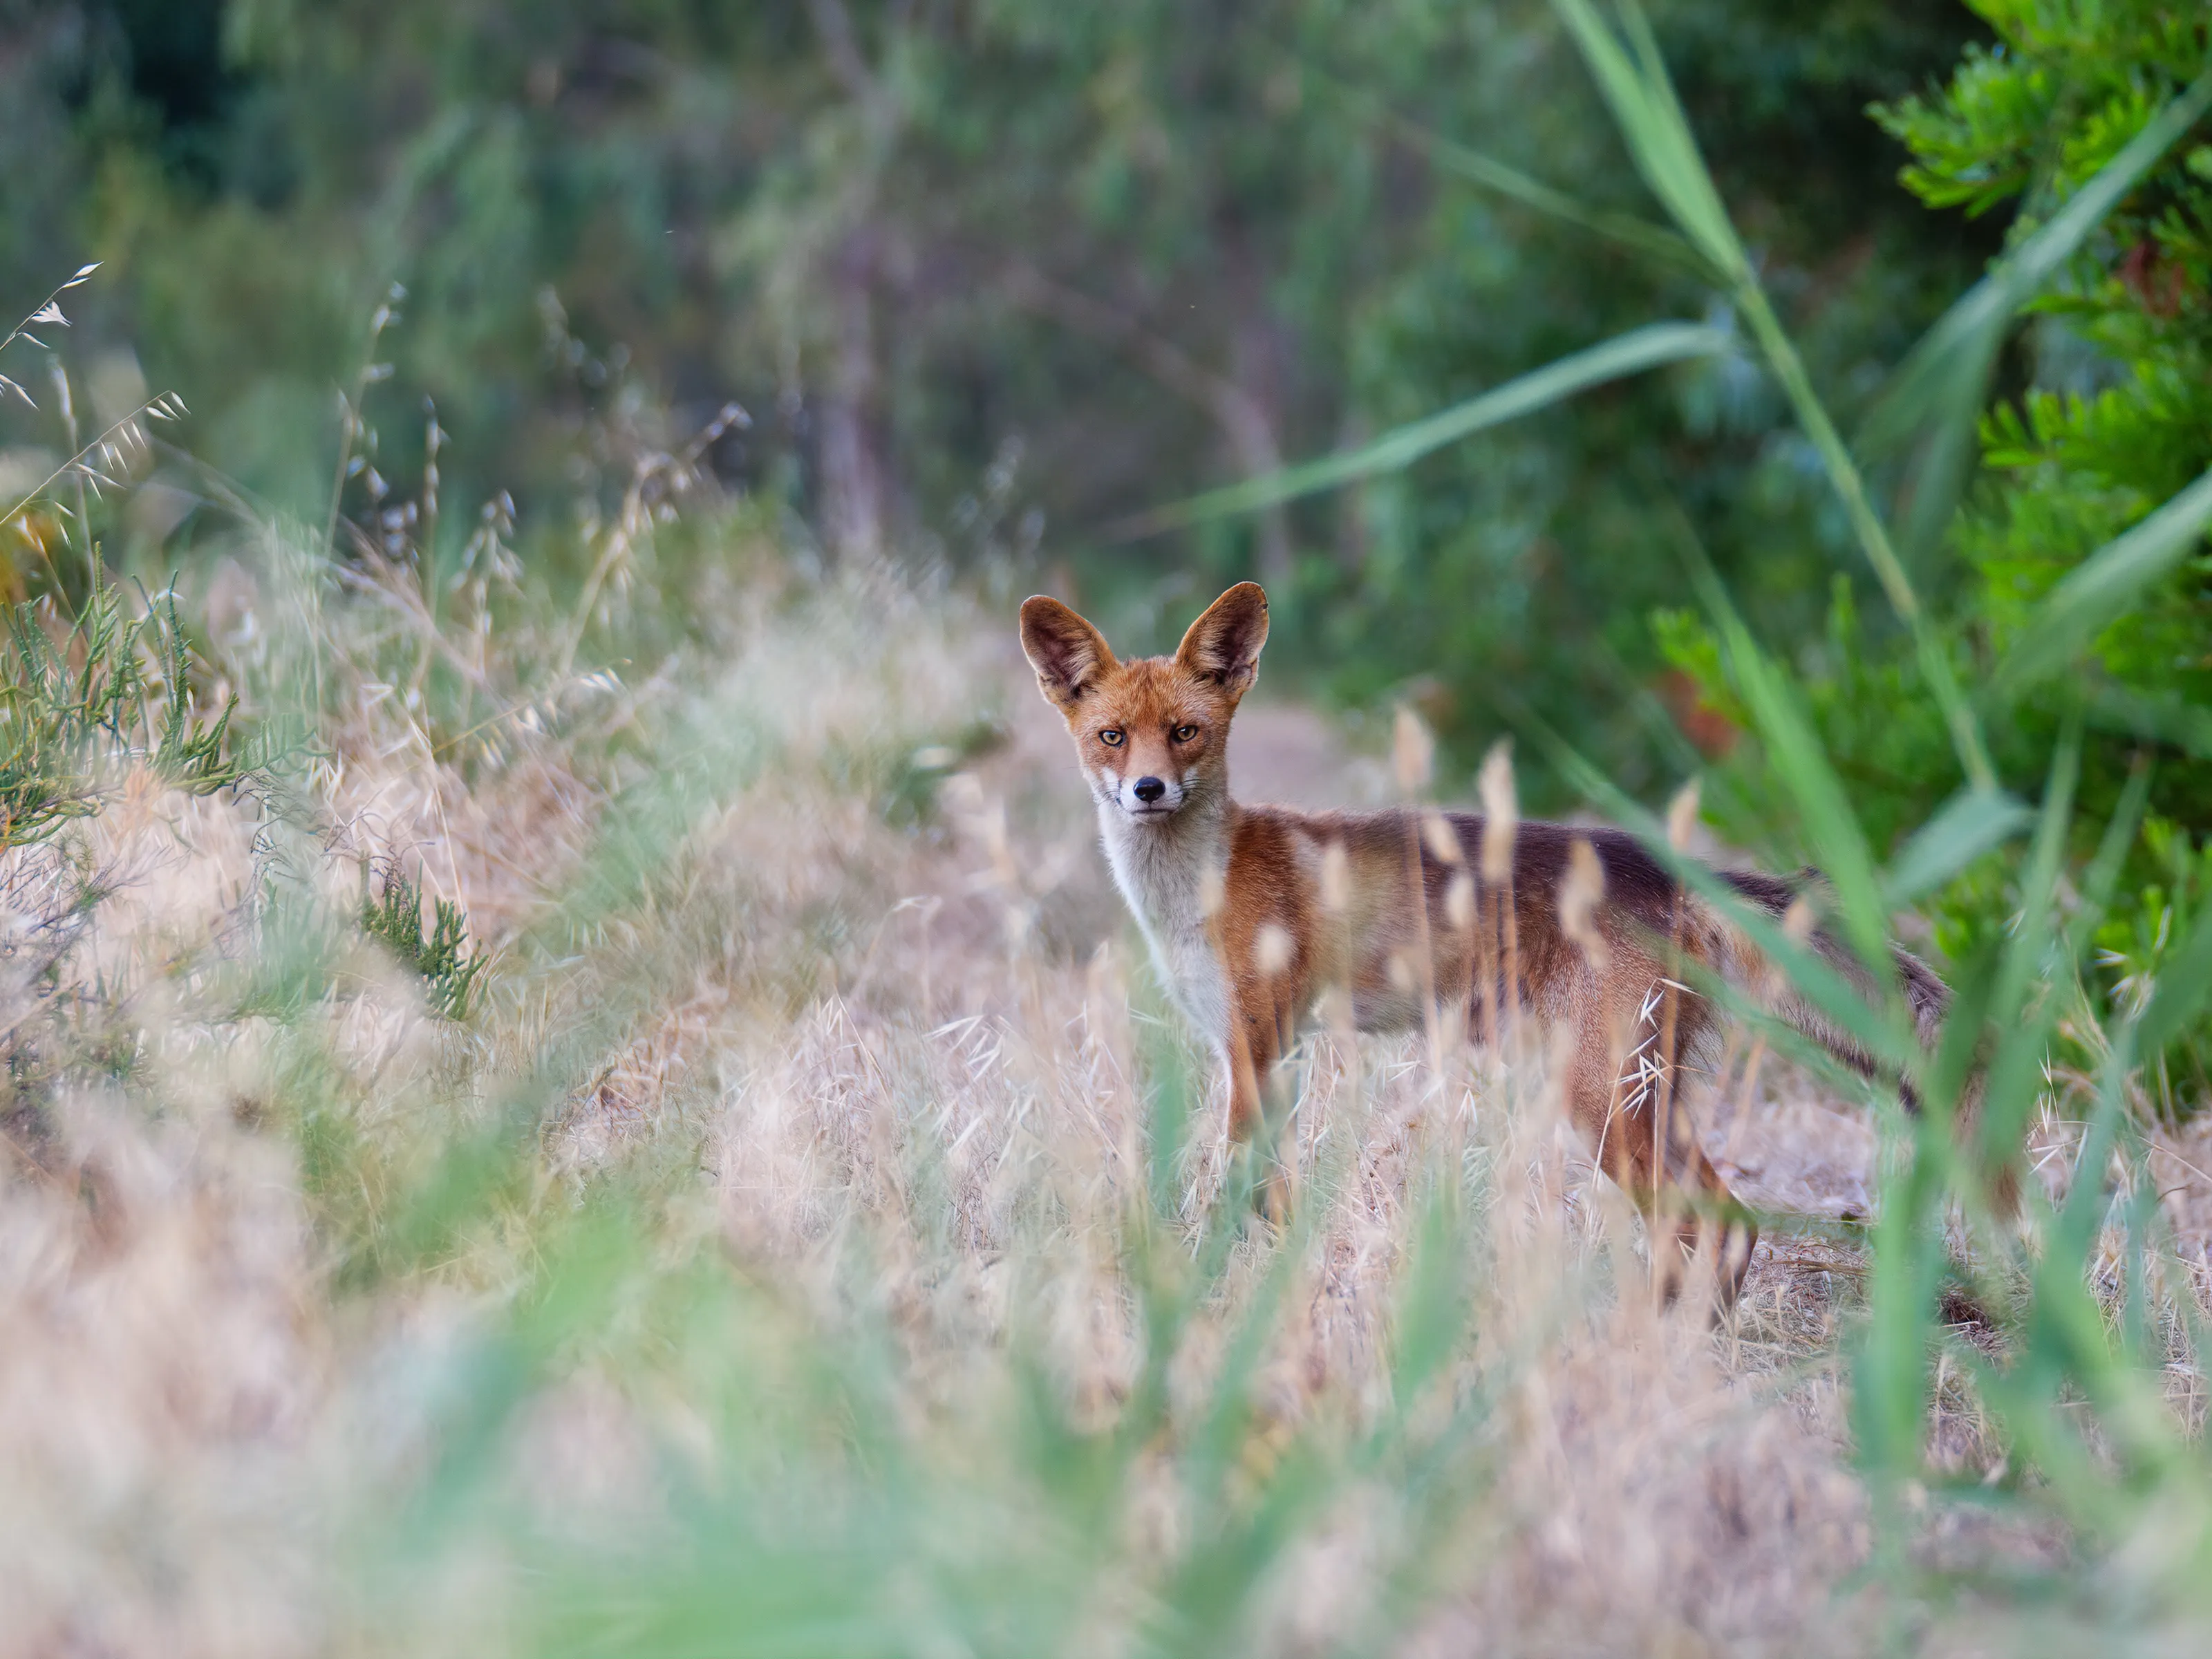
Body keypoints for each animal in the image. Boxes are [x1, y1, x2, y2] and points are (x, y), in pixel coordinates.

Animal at [1020, 581, 1955, 1301]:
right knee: (1732, 1222)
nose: (1147, 789)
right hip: (1640, 1098)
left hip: (1602, 1102)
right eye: (1111, 737)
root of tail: (1667, 866)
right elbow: (1268, 1195)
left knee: (1706, 1223)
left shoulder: (1258, 1047)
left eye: (1185, 732)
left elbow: (1245, 1194)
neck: (1196, 891)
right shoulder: (1257, 1051)